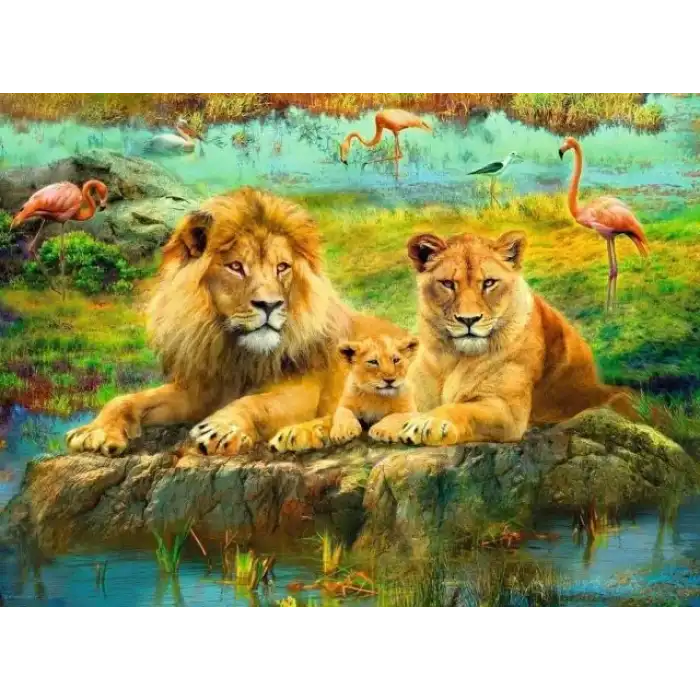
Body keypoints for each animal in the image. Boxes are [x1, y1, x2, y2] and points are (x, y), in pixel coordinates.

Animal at [66, 187, 403, 457]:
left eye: (282, 267)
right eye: (236, 267)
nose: (270, 304)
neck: (235, 352)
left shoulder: (304, 390)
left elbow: (256, 403)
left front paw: (220, 428)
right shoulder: (200, 389)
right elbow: (127, 399)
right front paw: (94, 431)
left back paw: (303, 433)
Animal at [368, 229, 639, 447]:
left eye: (489, 283)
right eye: (447, 283)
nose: (468, 320)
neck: (453, 358)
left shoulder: (508, 411)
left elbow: (461, 408)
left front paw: (429, 424)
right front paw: (389, 425)